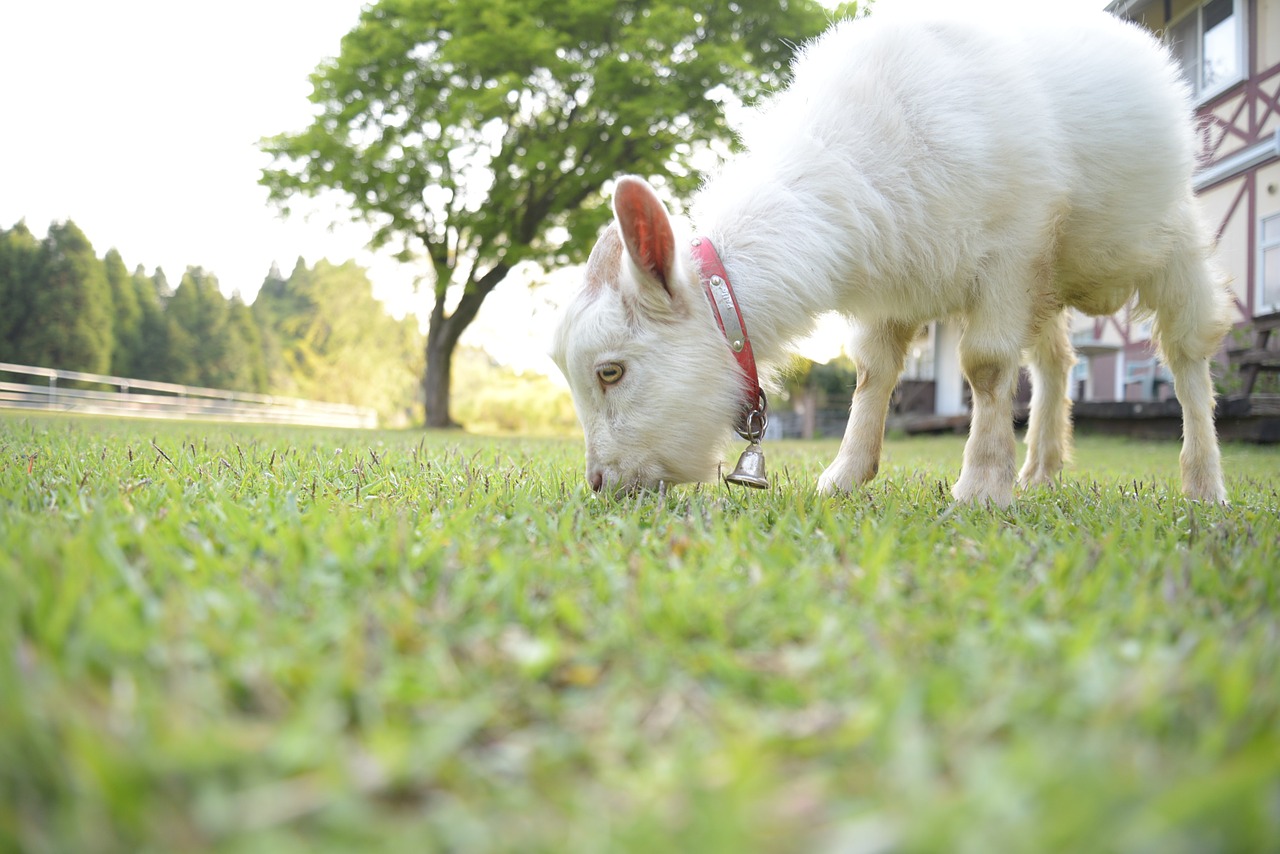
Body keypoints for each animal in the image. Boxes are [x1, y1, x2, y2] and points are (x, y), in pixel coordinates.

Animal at [550, 13, 1228, 504]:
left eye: (610, 371)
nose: (601, 485)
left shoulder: (1012, 248)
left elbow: (985, 366)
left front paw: (980, 489)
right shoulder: (898, 279)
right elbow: (872, 374)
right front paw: (844, 475)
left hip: (1162, 242)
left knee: (1187, 356)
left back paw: (1203, 484)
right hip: (1049, 276)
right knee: (1056, 361)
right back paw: (1040, 469)